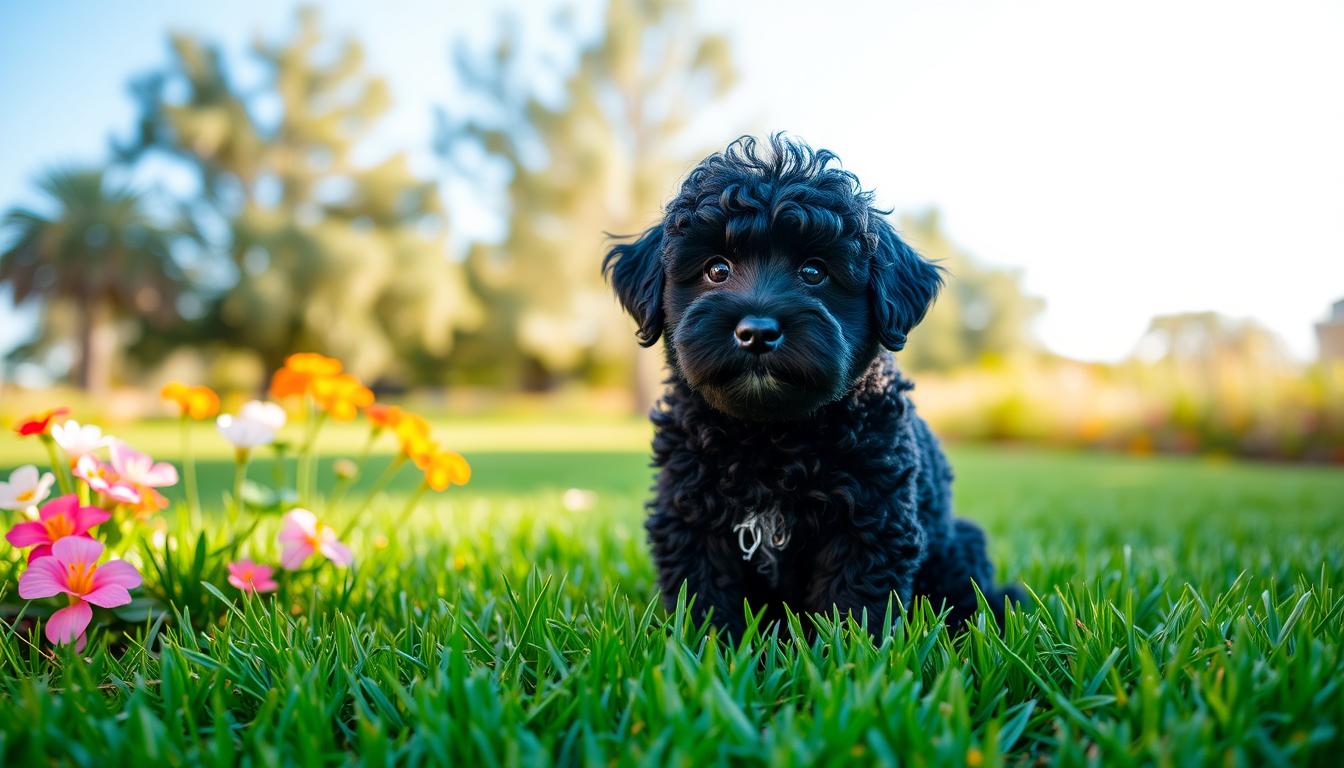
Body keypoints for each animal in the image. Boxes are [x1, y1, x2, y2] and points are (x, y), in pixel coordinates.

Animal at [607, 133, 1016, 637]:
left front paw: (846, 652)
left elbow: (851, 604)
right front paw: (708, 649)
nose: (757, 331)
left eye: (814, 272)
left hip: (960, 544)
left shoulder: (870, 520)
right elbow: (704, 599)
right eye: (716, 269)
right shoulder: (690, 517)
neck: (770, 436)